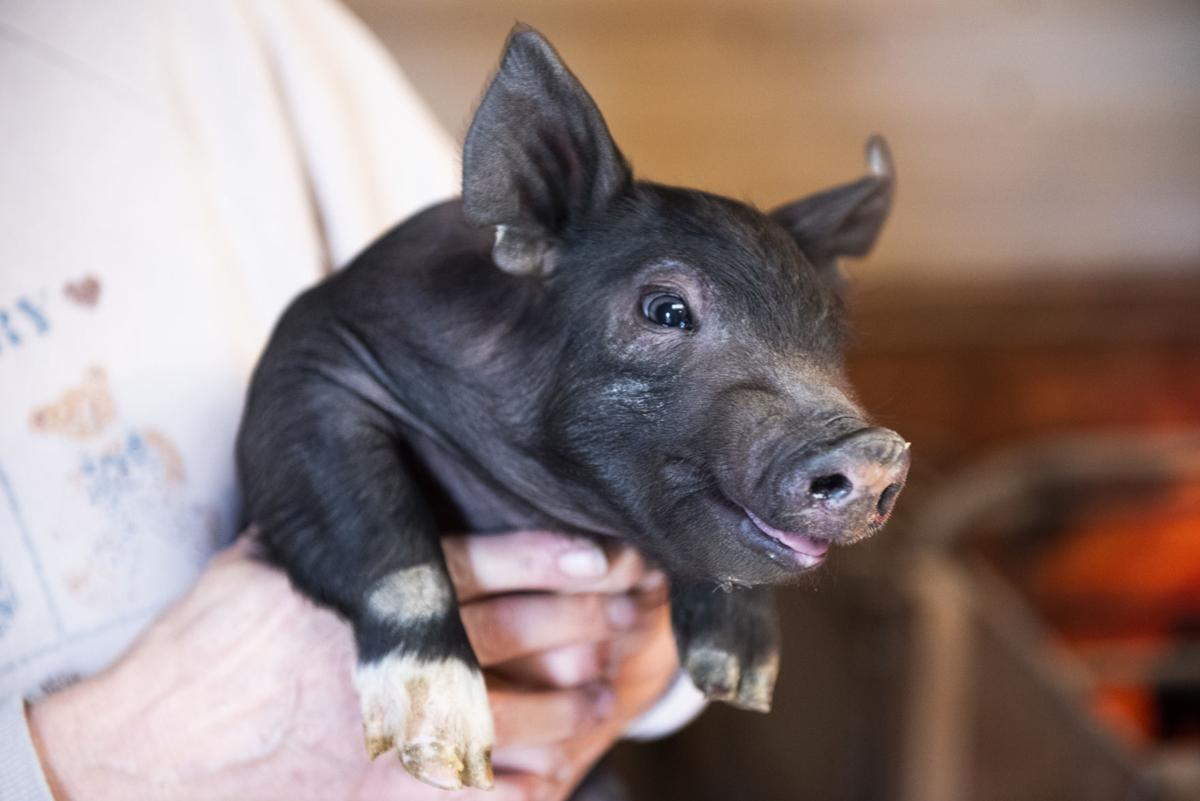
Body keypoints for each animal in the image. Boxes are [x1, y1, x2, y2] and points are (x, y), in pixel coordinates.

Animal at [237, 24, 909, 791]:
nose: (876, 451)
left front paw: (740, 681)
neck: (552, 497)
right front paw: (445, 760)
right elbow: (384, 540)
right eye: (665, 309)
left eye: (830, 331)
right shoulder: (312, 367)